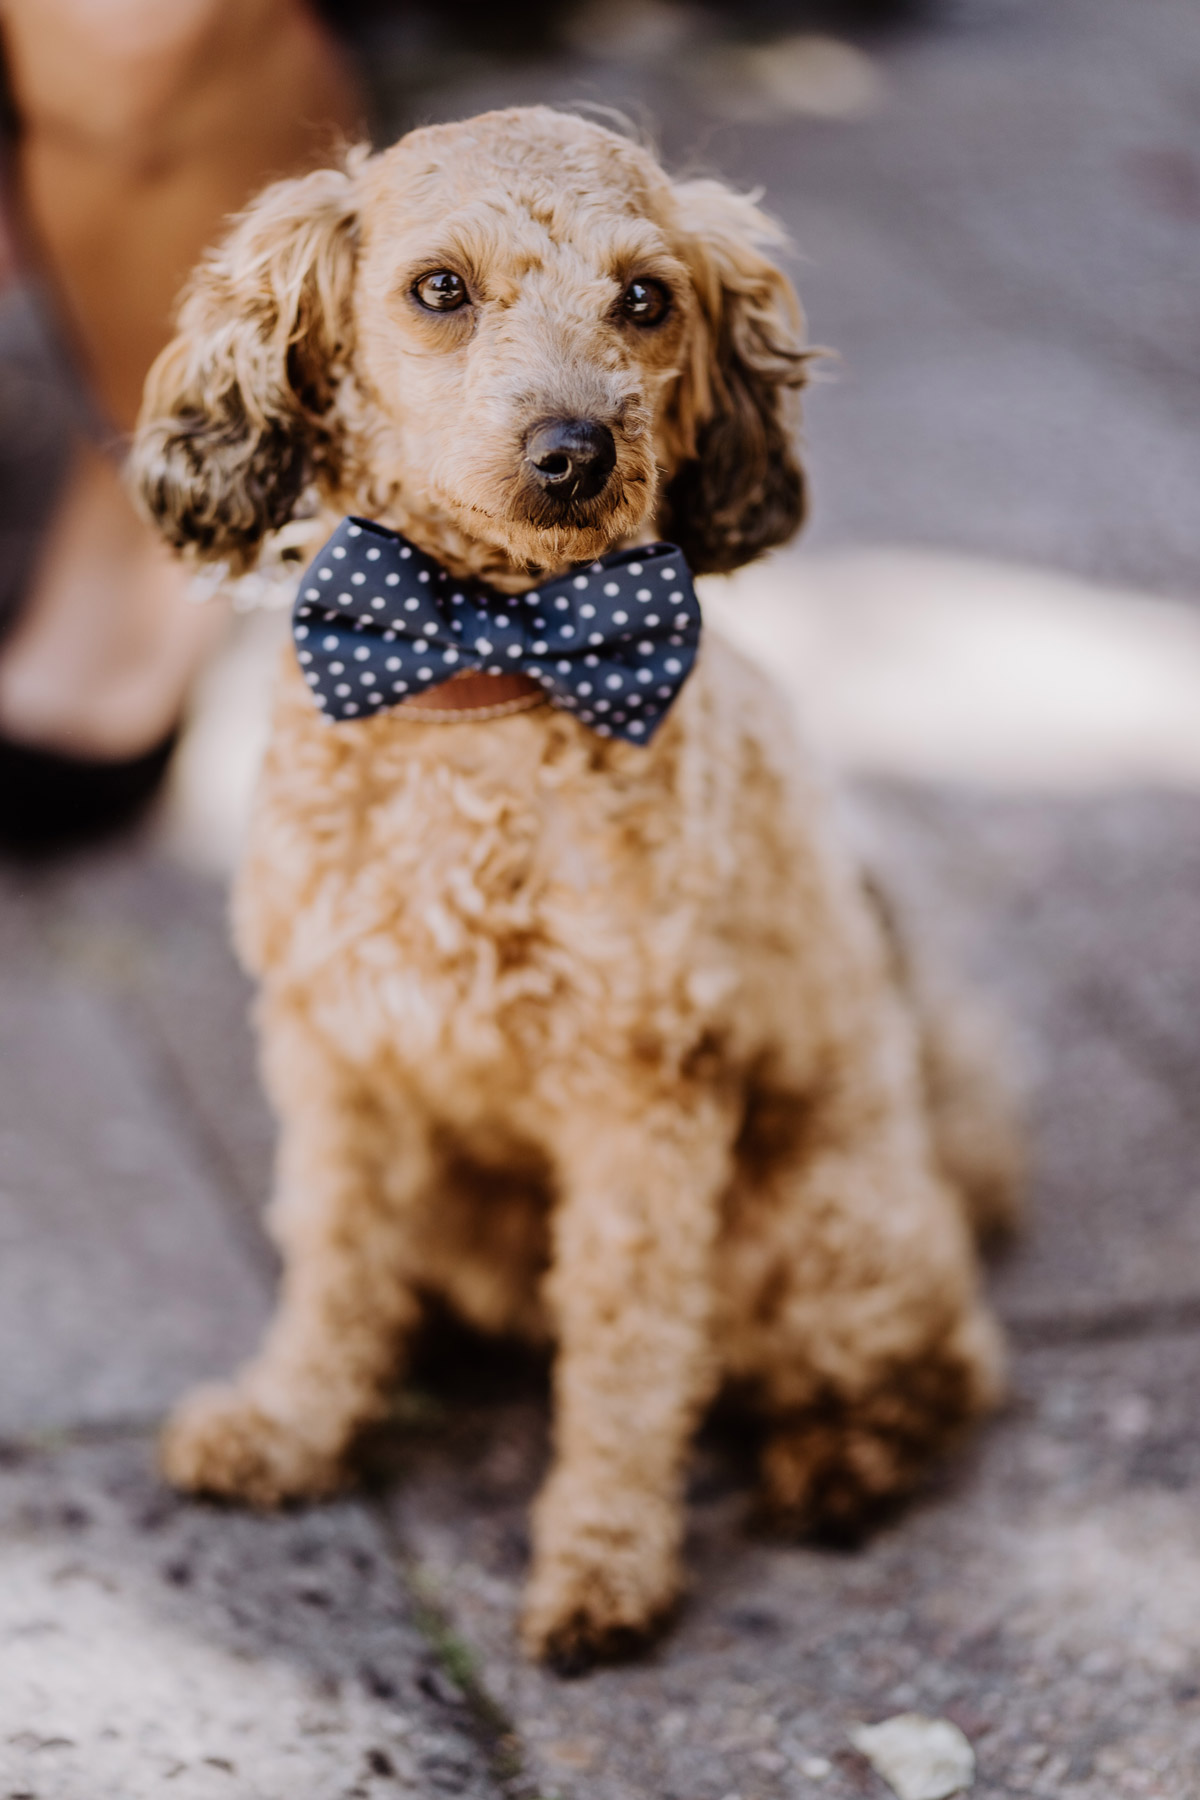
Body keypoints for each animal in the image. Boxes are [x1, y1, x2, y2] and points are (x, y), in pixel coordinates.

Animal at [131, 105, 1021, 1663]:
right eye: (439, 290)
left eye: (647, 299)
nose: (575, 450)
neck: (486, 661)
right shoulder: (337, 1061)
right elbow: (333, 1269)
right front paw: (293, 1431)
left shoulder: (640, 1100)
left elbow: (627, 1352)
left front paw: (604, 1563)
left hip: (823, 1224)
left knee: (937, 1357)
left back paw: (841, 1461)